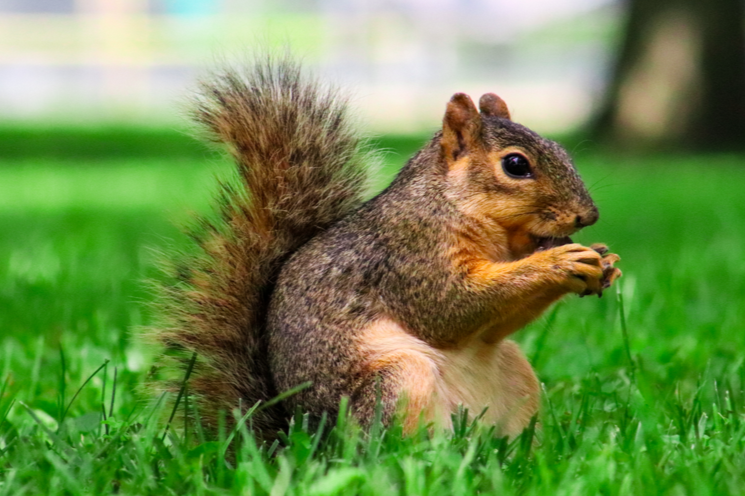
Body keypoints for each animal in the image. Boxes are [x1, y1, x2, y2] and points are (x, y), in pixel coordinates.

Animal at [151, 56, 621, 440]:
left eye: (561, 149)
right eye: (516, 164)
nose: (588, 215)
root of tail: (300, 443)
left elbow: (489, 323)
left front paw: (605, 261)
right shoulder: (408, 255)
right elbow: (451, 308)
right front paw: (558, 262)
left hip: (516, 375)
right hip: (397, 380)